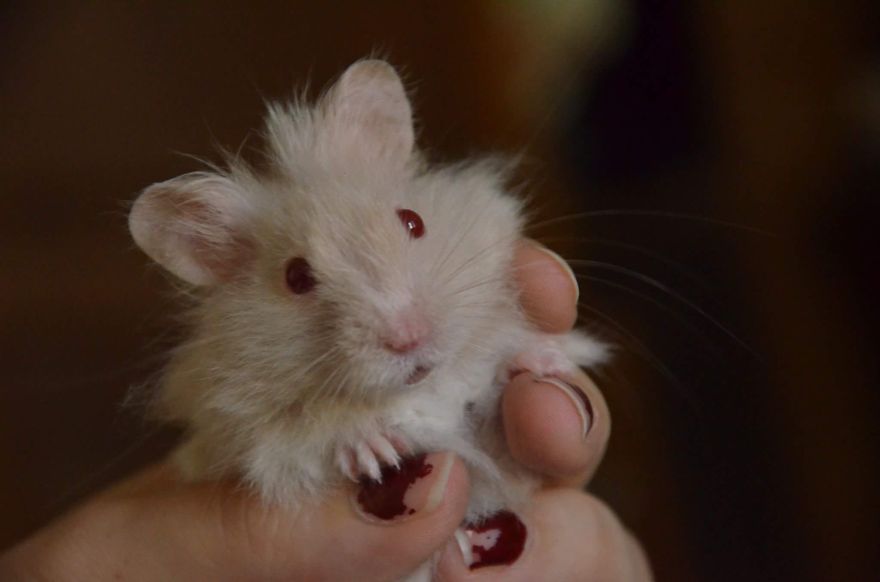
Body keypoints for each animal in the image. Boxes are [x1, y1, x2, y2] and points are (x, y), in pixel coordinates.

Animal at [129, 59, 607, 530]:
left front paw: (545, 361)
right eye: (296, 277)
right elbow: (303, 435)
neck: (418, 389)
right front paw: (376, 452)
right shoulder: (240, 438)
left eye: (413, 221)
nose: (409, 338)